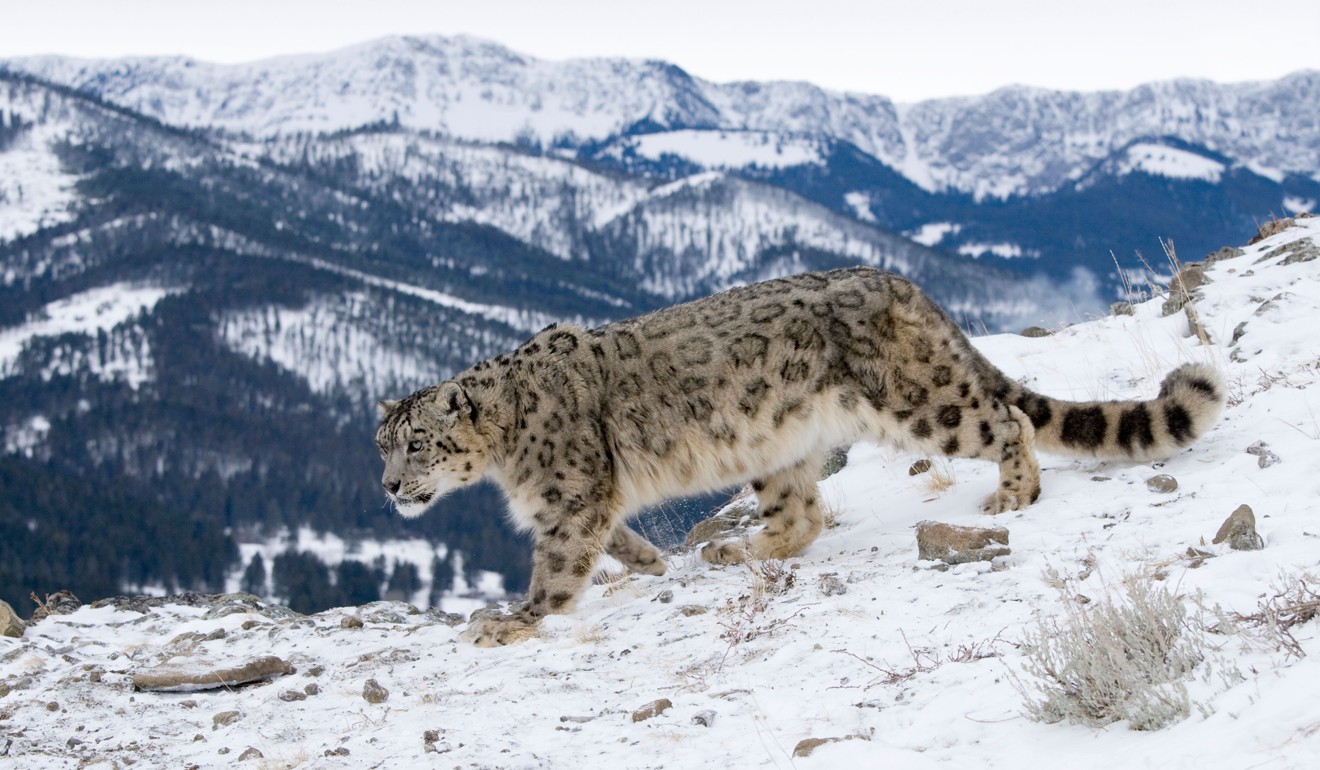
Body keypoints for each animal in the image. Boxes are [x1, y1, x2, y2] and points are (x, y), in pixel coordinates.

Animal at [377, 268, 1219, 647]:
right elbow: (615, 542)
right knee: (802, 515)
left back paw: (1013, 493)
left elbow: (556, 566)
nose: (388, 488)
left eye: (417, 444)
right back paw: (735, 550)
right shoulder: (588, 500)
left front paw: (509, 621)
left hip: (921, 403)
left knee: (1005, 417)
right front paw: (652, 565)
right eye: (379, 447)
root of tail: (903, 282)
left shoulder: (571, 494)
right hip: (775, 445)